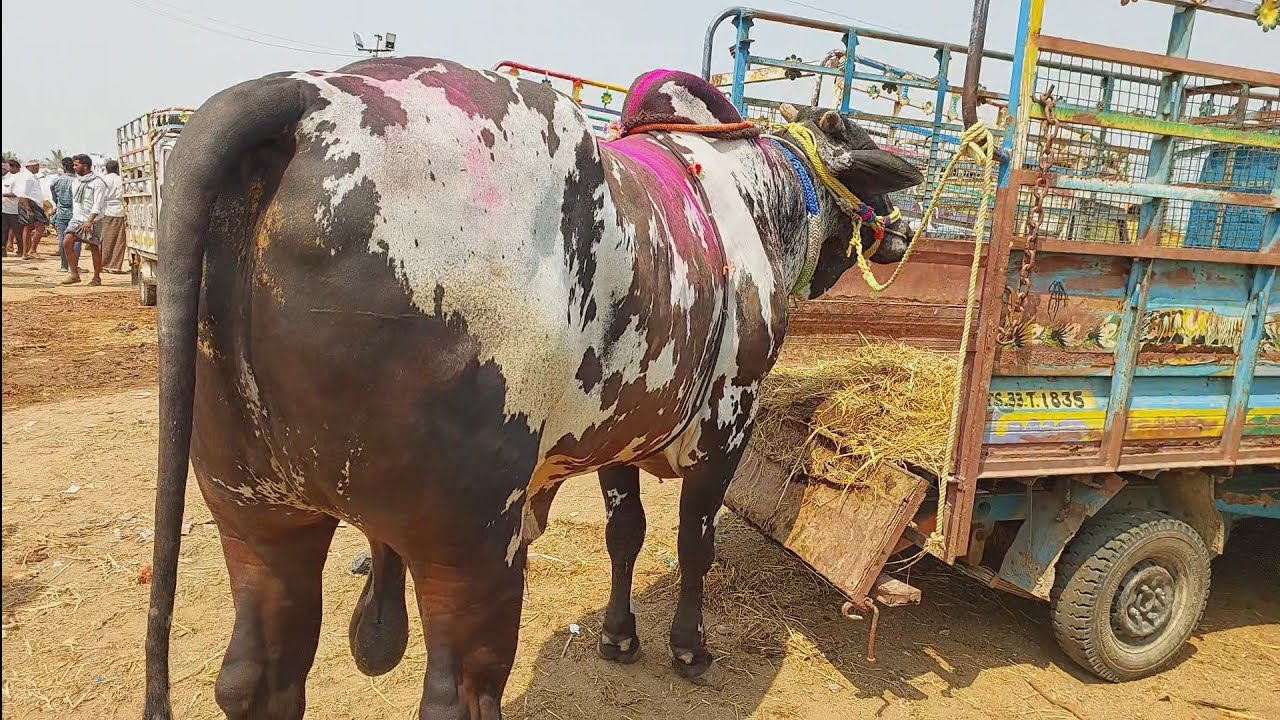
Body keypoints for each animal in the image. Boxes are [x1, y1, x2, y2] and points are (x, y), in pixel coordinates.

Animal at [143, 59, 923, 720]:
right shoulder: (729, 426)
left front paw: (618, 635)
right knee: (460, 692)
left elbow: (625, 534)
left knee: (258, 675)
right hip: (472, 543)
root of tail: (303, 98)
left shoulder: (619, 430)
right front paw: (688, 649)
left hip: (256, 513)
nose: (905, 231)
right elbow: (694, 543)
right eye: (856, 143)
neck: (754, 200)